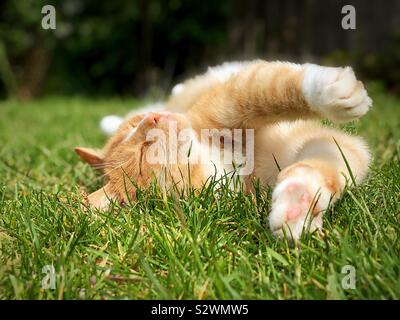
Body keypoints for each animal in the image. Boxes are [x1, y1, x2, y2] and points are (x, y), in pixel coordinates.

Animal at [76, 60, 372, 240]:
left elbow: (269, 88)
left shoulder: (228, 104)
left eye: (135, 128)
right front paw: (297, 207)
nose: (153, 118)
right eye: (141, 154)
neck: (222, 165)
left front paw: (332, 90)